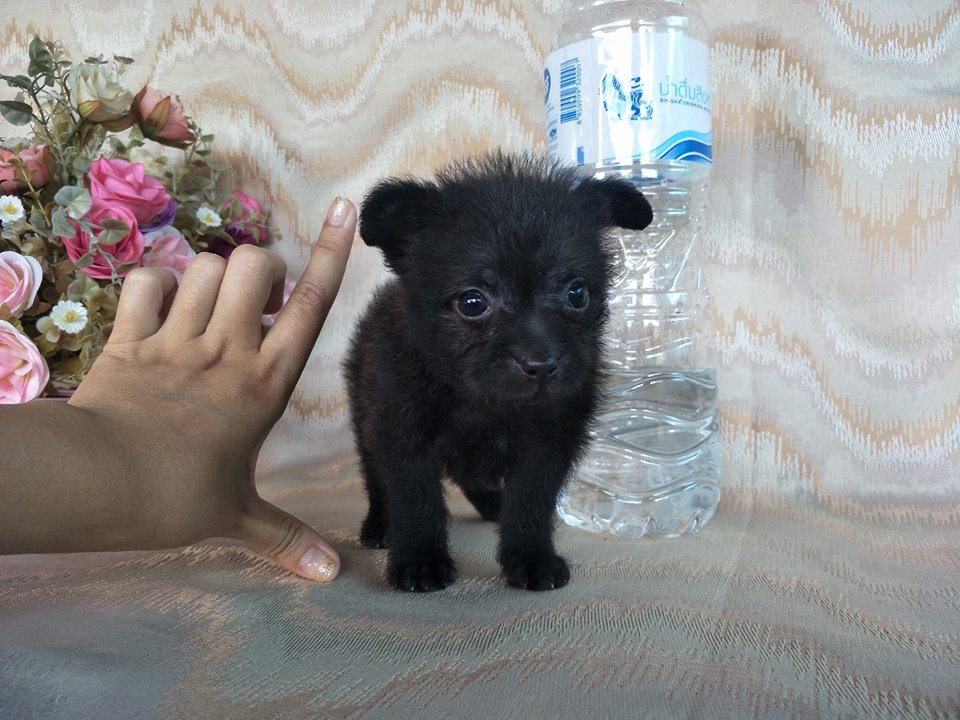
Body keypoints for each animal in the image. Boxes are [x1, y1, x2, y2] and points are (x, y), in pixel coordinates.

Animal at [345, 152, 652, 591]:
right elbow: (415, 500)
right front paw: (420, 560)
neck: (484, 402)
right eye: (472, 302)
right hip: (364, 418)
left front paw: (530, 557)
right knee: (375, 476)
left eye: (577, 293)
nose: (541, 365)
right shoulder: (402, 435)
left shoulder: (548, 445)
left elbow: (530, 504)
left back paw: (493, 504)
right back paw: (379, 525)